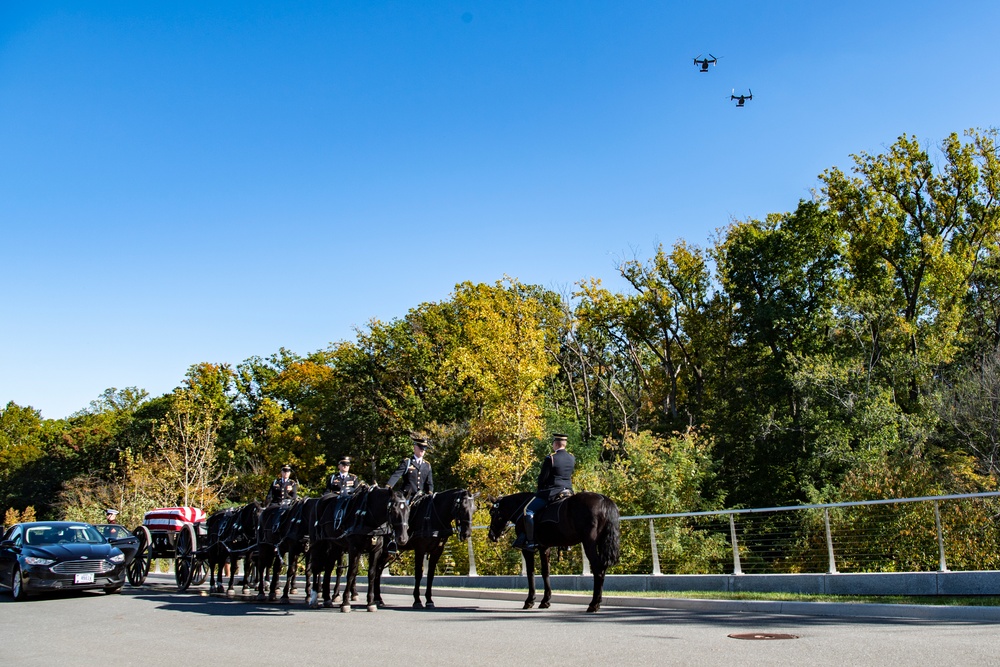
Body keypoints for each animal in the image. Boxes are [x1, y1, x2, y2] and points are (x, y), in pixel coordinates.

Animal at [490, 494, 620, 612]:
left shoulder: (527, 550)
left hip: (589, 543)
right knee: (602, 569)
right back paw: (597, 602)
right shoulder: (544, 548)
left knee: (598, 569)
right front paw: (545, 601)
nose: (491, 535)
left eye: (492, 513)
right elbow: (545, 572)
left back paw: (594, 604)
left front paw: (530, 600)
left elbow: (530, 573)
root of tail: (604, 500)